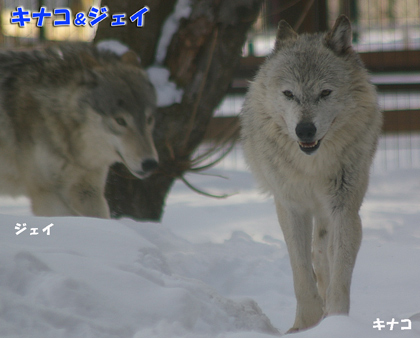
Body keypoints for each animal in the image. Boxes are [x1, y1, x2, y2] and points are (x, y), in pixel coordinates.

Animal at [240, 16, 380, 332]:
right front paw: (304, 325)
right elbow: (302, 274)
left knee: (324, 255)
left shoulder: (344, 210)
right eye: (289, 94)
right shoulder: (291, 208)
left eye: (325, 93)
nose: (304, 130)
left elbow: (339, 275)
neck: (312, 166)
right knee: (316, 259)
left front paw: (337, 324)